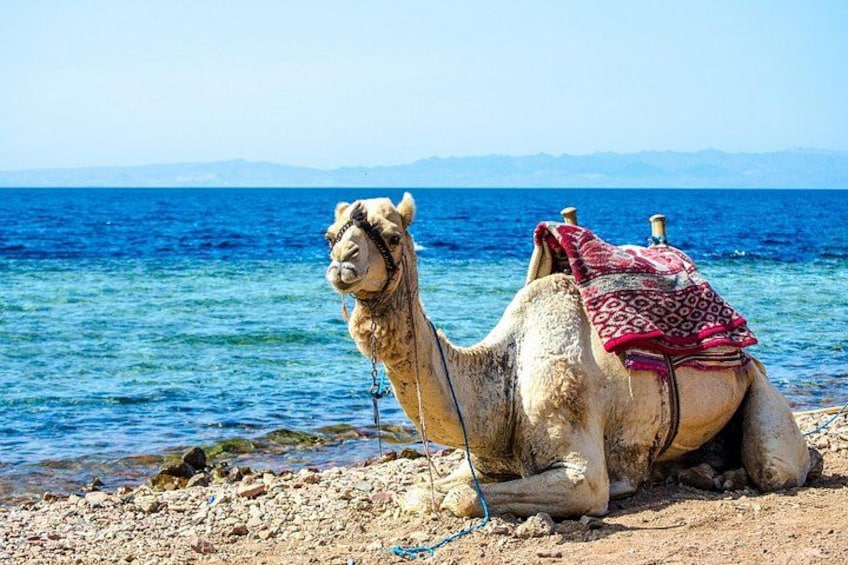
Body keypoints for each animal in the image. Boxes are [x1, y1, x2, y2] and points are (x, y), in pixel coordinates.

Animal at [324, 193, 815, 518]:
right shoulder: (486, 462)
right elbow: (428, 492)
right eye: (330, 235)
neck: (504, 378)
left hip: (755, 381)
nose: (343, 264)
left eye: (391, 235)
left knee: (777, 466)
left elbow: (463, 499)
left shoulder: (583, 474)